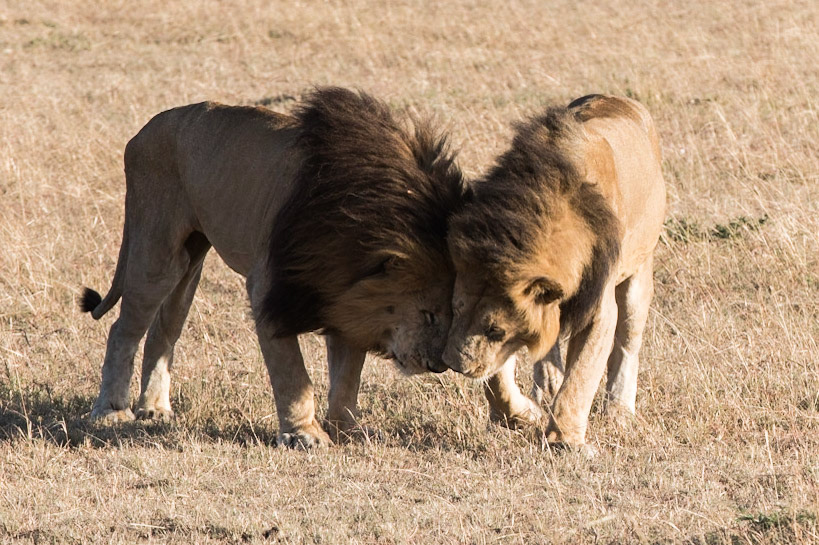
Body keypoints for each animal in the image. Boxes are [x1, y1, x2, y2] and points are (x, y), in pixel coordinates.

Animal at [80, 87, 467, 448]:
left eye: (454, 312)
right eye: (428, 314)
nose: (438, 365)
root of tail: (146, 129)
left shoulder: (342, 298)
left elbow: (347, 375)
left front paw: (348, 430)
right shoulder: (269, 286)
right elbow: (293, 373)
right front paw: (304, 435)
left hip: (191, 262)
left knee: (163, 331)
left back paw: (153, 409)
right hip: (157, 251)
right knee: (123, 329)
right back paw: (112, 410)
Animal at [443, 94, 666, 450]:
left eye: (496, 330)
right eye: (455, 309)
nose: (453, 365)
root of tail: (618, 98)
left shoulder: (597, 308)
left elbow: (581, 377)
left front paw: (566, 442)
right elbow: (497, 378)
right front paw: (519, 416)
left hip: (639, 272)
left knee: (628, 343)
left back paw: (619, 411)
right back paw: (547, 384)